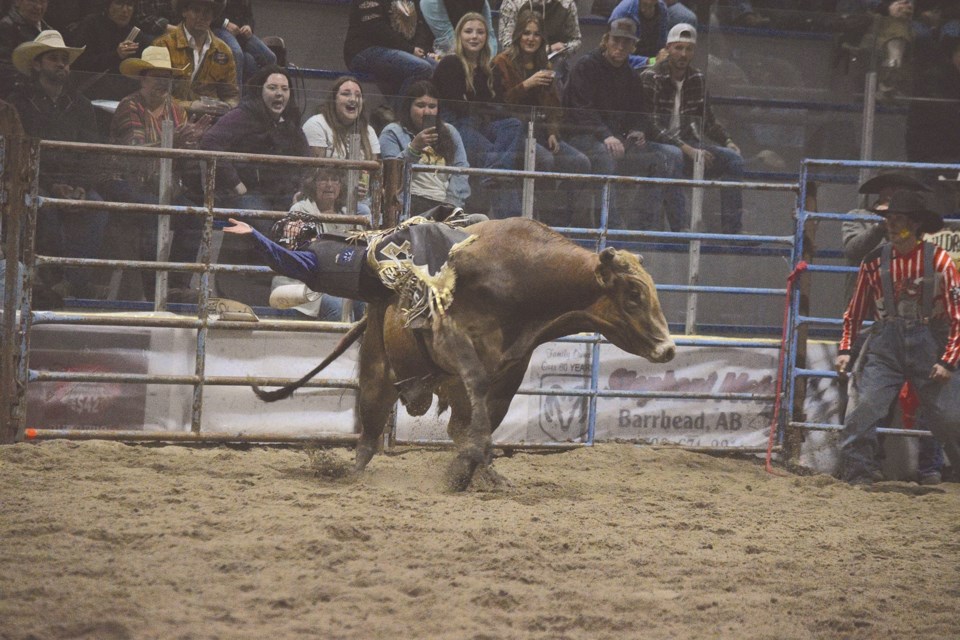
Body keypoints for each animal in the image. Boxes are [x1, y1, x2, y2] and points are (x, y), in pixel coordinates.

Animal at [225, 211, 676, 490]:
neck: (521, 276)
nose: (669, 348)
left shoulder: (513, 366)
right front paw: (472, 463)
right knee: (368, 436)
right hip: (377, 374)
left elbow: (481, 419)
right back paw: (349, 473)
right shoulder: (448, 336)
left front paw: (474, 469)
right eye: (633, 294)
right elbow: (474, 397)